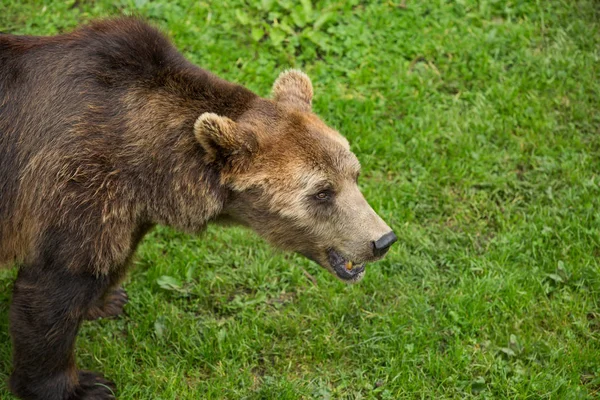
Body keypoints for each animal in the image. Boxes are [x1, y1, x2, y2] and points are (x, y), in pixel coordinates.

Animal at [0, 18, 396, 400]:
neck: (151, 165)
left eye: (354, 174)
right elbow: (54, 288)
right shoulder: (78, 179)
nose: (382, 240)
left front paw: (107, 300)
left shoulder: (126, 206)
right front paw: (80, 385)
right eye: (322, 192)